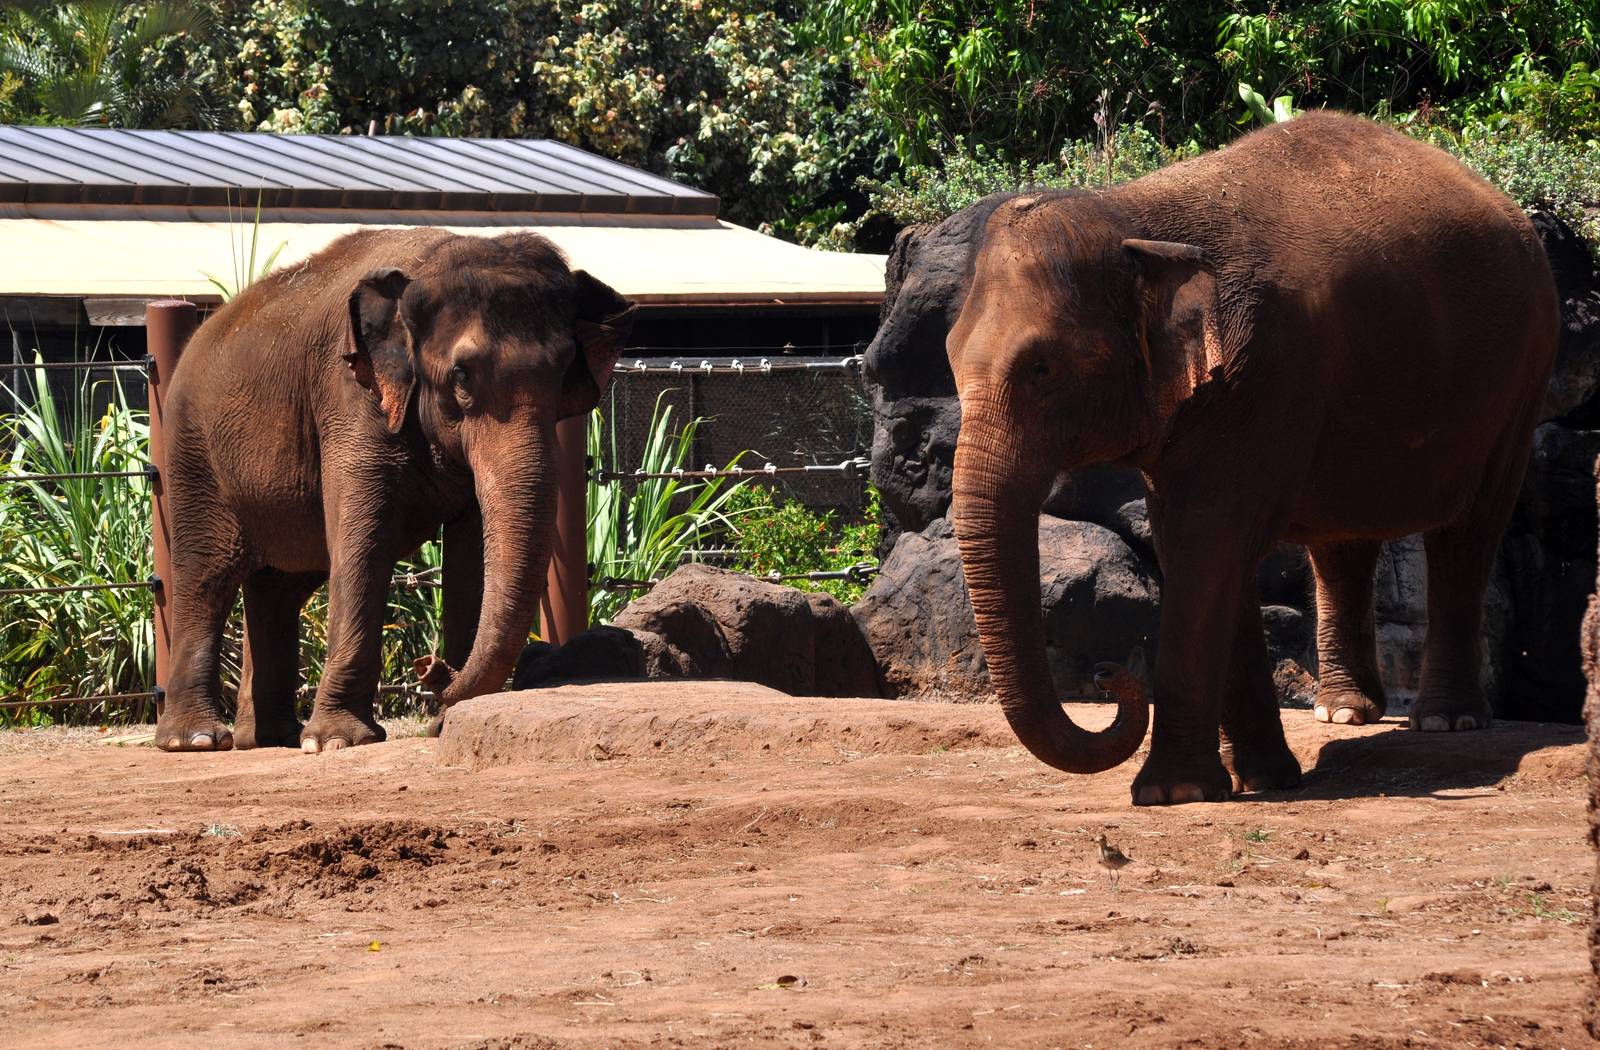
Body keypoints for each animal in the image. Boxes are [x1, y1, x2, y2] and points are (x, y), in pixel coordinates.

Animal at [155, 228, 634, 753]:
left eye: (565, 372)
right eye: (461, 377)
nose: (430, 666)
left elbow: (470, 553)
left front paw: (444, 723)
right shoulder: (349, 397)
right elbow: (365, 543)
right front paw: (337, 742)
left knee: (280, 586)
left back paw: (271, 738)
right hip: (193, 453)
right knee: (207, 577)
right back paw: (197, 740)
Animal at [944, 112, 1559, 804]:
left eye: (1043, 368)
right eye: (948, 357)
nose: (1106, 675)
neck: (1134, 215)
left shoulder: (1268, 369)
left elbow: (1210, 542)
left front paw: (1171, 794)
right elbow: (1202, 545)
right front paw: (1259, 780)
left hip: (1524, 374)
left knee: (1467, 532)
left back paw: (1446, 721)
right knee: (1343, 543)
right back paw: (1344, 711)